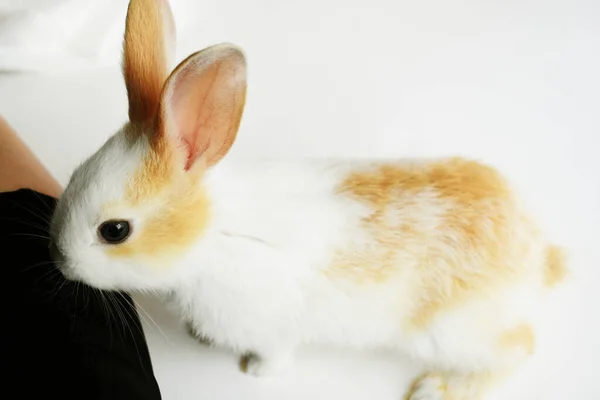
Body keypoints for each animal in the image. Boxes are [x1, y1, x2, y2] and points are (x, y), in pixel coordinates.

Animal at [50, 0, 568, 396]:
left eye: (115, 231)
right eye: (73, 175)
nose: (60, 262)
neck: (212, 236)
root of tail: (534, 252)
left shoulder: (270, 328)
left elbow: (276, 356)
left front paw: (255, 372)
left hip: (451, 332)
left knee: (520, 347)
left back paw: (436, 387)